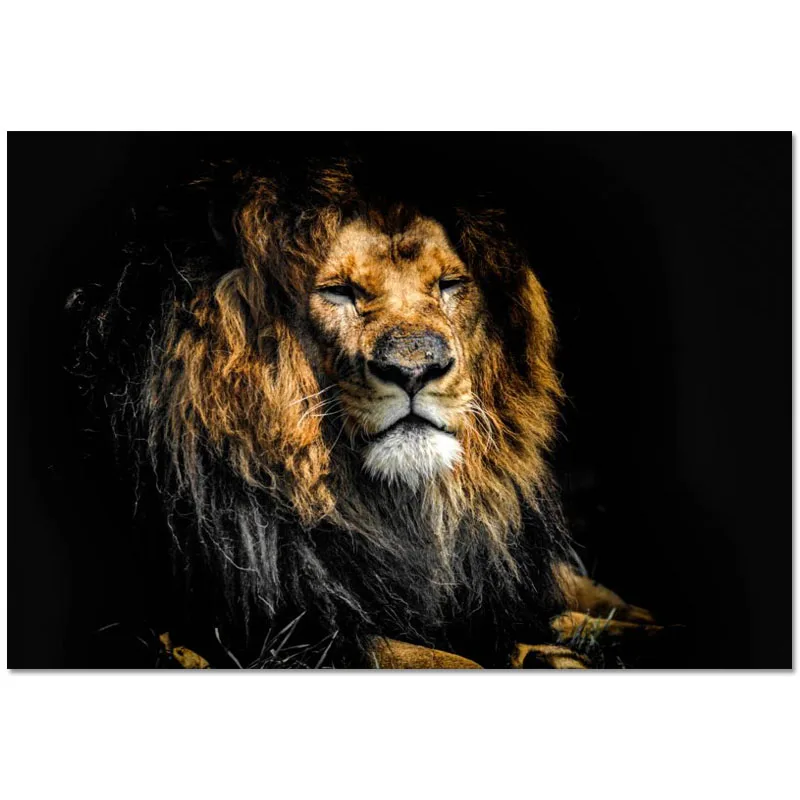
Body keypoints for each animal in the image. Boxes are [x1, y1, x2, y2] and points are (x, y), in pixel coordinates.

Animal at [77, 152, 651, 668]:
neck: (397, 510)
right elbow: (448, 661)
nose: (416, 370)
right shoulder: (292, 640)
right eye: (338, 291)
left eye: (449, 284)